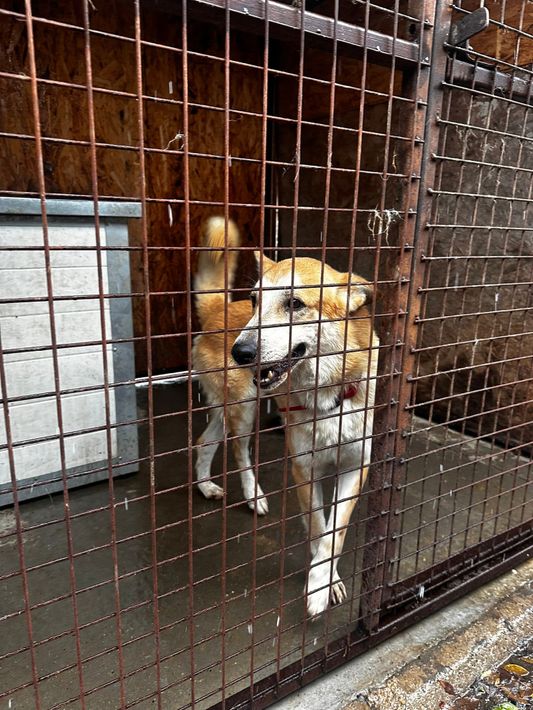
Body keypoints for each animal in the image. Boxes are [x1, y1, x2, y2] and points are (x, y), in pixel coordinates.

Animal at [193, 217, 378, 617]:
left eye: (295, 304)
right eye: (255, 301)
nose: (241, 352)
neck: (329, 393)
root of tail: (218, 309)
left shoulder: (356, 466)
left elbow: (335, 534)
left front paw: (326, 582)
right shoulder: (304, 468)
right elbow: (318, 528)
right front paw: (322, 585)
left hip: (226, 411)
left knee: (203, 442)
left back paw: (206, 486)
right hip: (244, 409)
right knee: (240, 451)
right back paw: (253, 495)